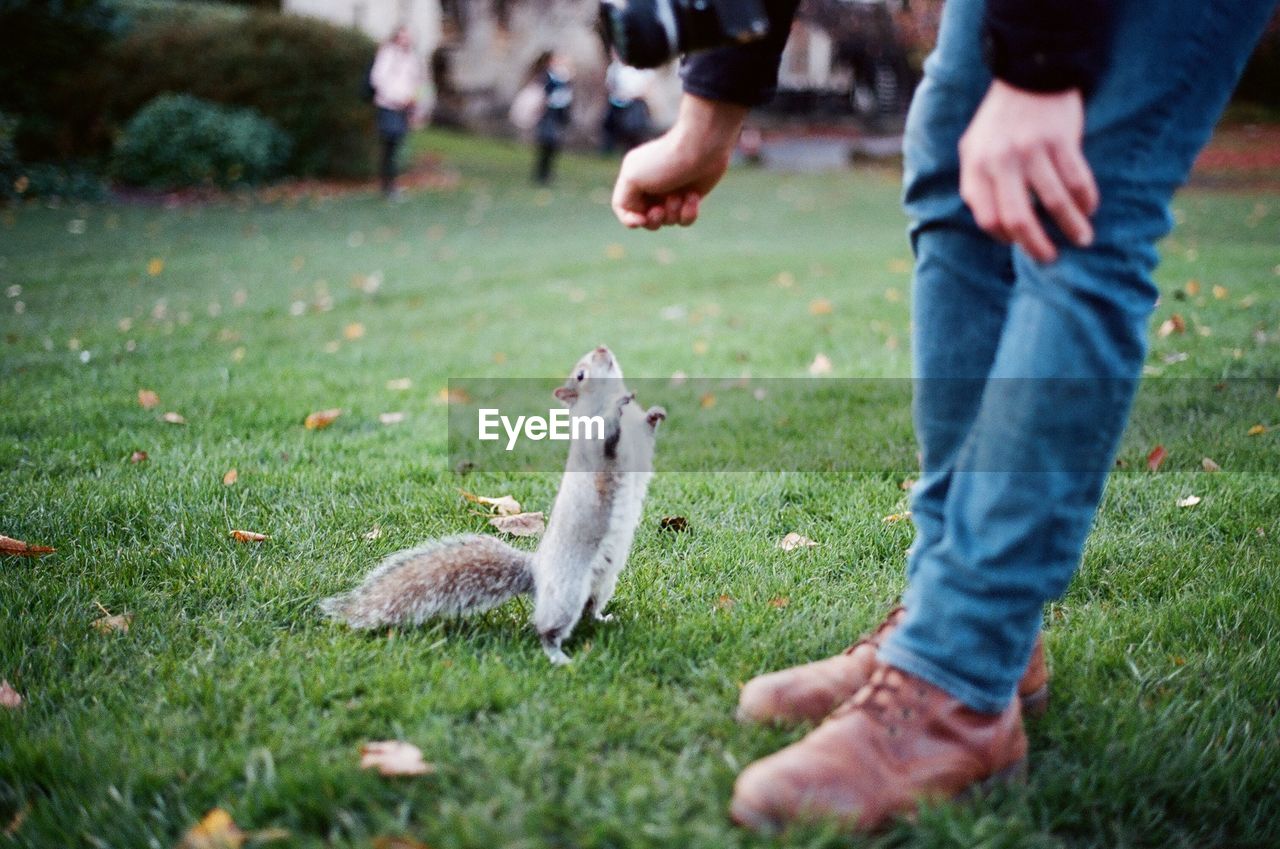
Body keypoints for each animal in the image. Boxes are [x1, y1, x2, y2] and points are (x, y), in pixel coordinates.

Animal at [317, 345, 670, 665]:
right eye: (581, 374)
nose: (601, 348)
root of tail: (537, 571)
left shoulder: (639, 439)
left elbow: (646, 430)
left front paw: (654, 413)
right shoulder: (596, 448)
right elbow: (608, 439)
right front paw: (617, 406)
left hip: (604, 583)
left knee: (590, 608)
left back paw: (603, 618)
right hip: (566, 591)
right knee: (548, 628)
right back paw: (558, 656)